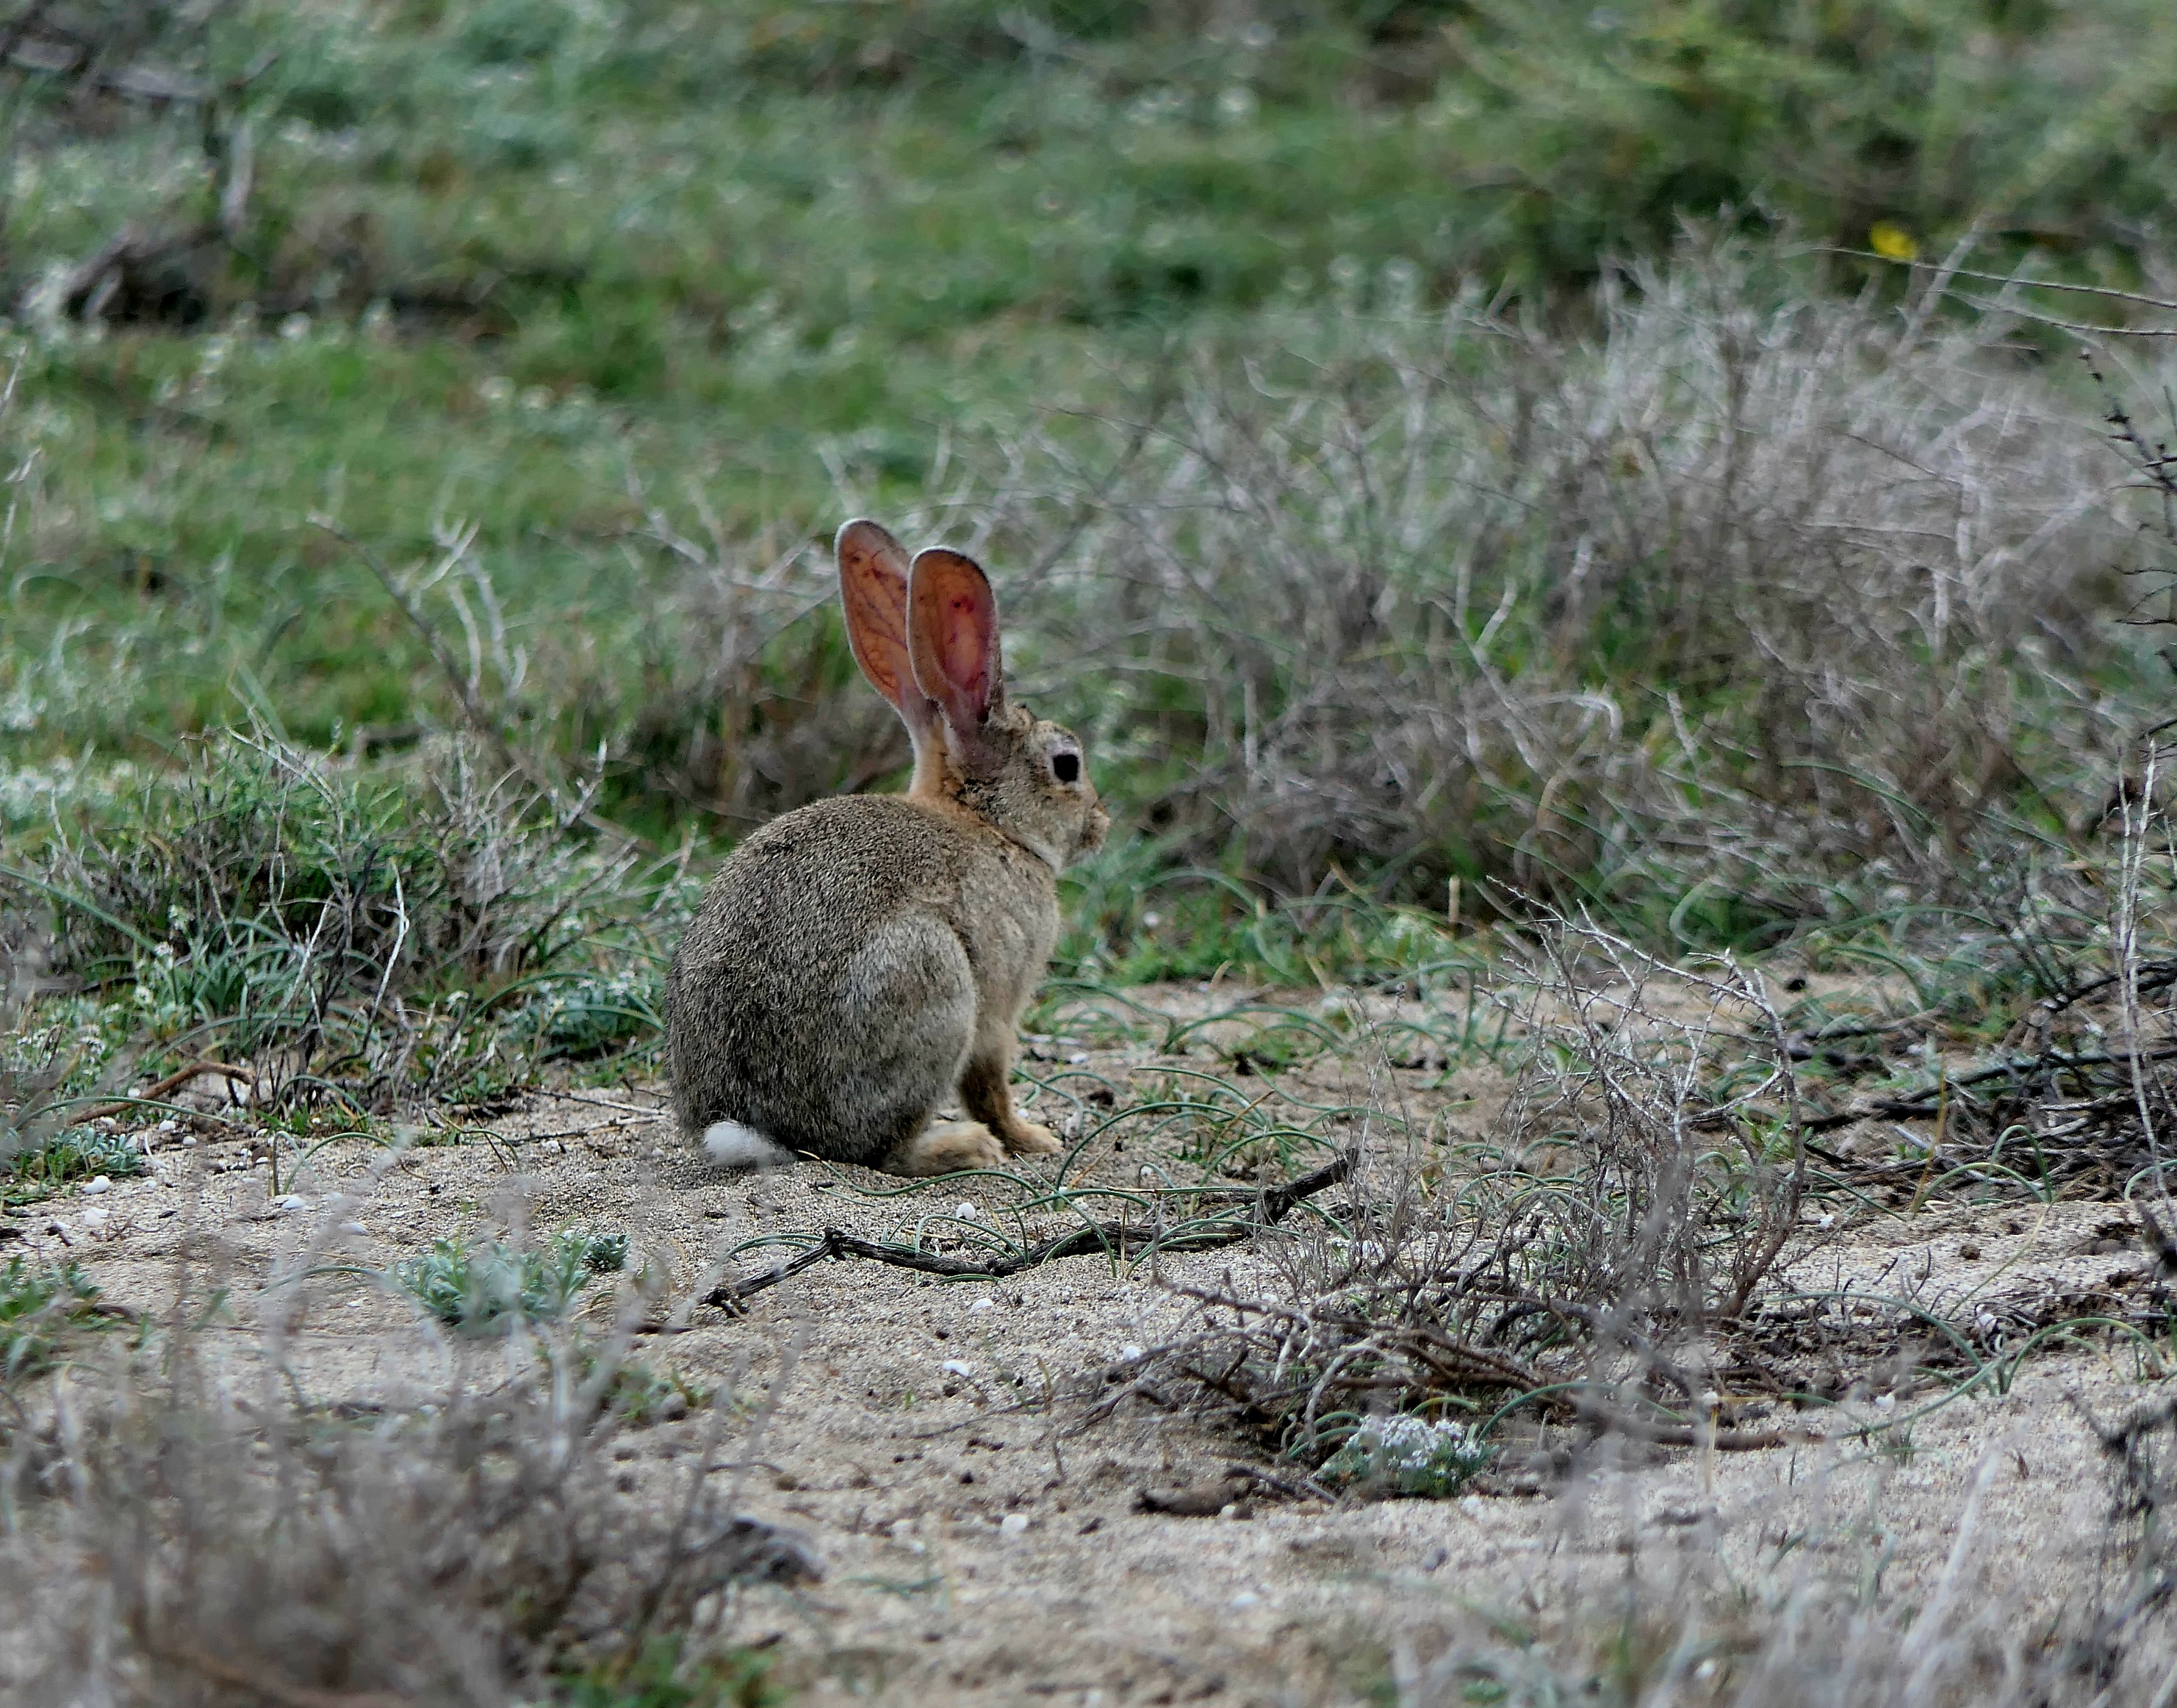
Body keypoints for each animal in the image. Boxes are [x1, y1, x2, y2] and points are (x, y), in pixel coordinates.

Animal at [661, 513, 1106, 1166]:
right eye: (1067, 765)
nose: (1101, 824)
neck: (988, 823)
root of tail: (760, 1128)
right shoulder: (996, 1009)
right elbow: (990, 1085)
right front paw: (1032, 1139)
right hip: (931, 977)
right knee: (884, 1151)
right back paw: (962, 1146)